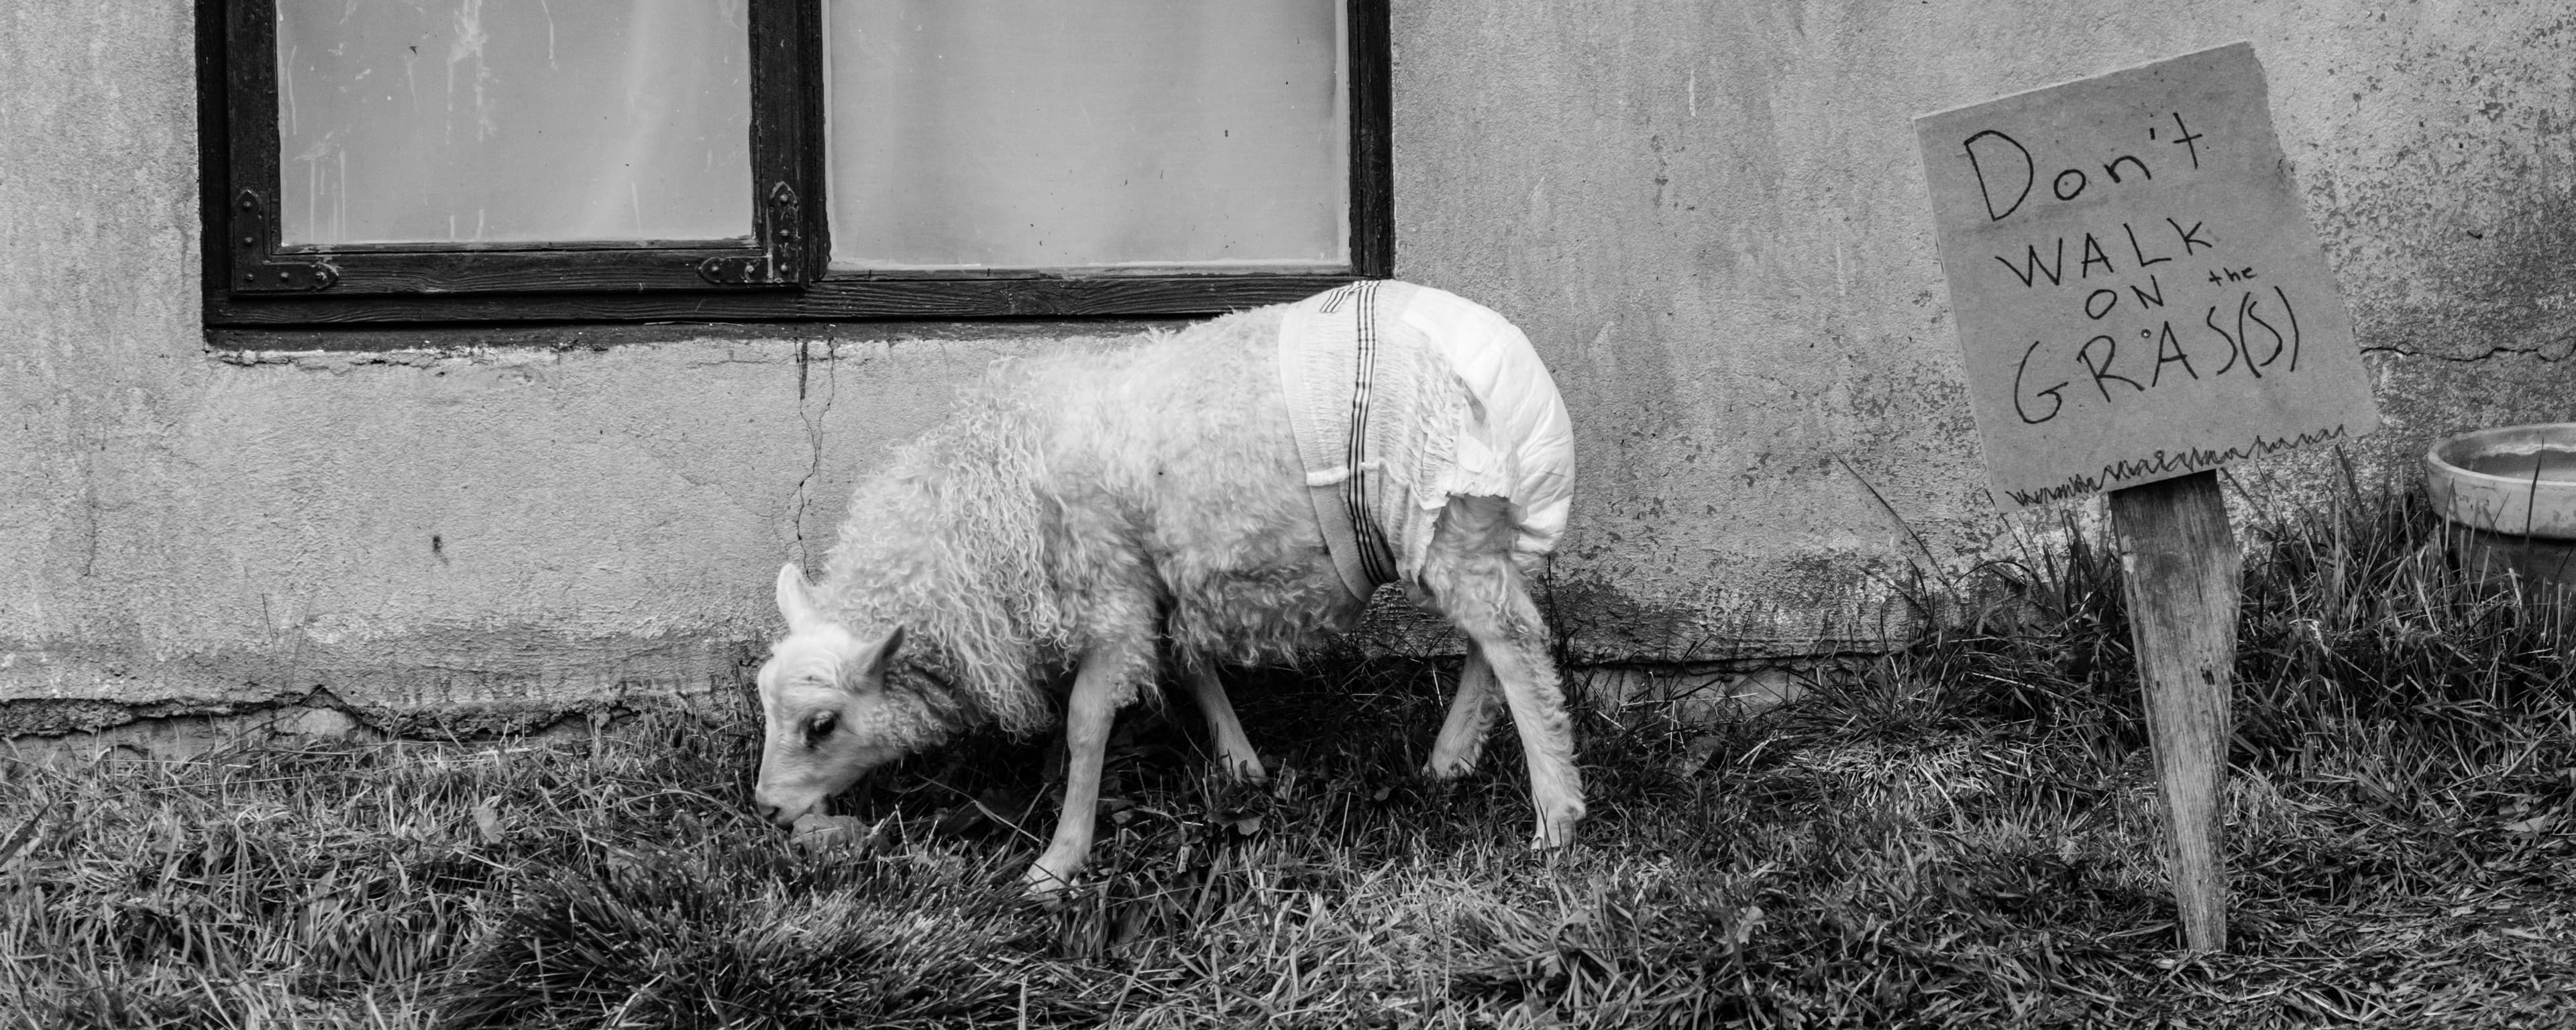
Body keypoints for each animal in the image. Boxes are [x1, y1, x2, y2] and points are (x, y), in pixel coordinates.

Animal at [752, 280, 1582, 895]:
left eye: (822, 724)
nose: (768, 810)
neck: (983, 507)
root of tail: (1524, 373)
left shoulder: (1110, 589)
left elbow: (1088, 722)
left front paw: (1059, 862)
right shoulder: (1159, 578)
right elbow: (1192, 663)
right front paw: (1240, 764)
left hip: (1446, 512)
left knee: (1514, 643)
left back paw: (1555, 818)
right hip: (1460, 531)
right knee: (1496, 635)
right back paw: (1453, 757)